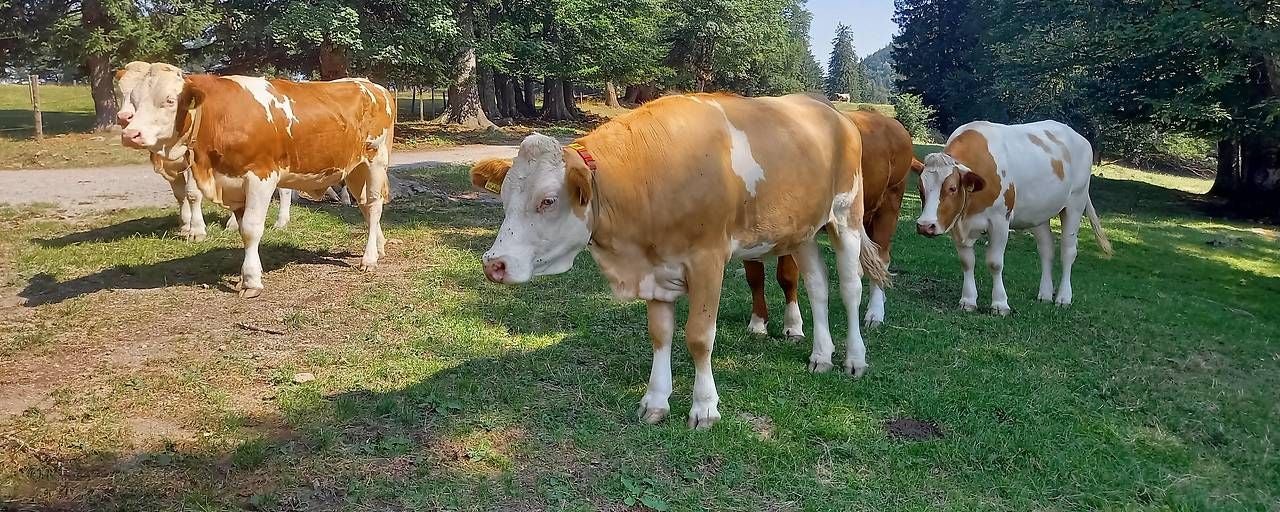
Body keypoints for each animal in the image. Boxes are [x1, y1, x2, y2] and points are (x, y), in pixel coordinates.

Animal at [115, 62, 292, 241]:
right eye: (122, 93)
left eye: (170, 100)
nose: (125, 119)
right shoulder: (170, 166)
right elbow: (180, 194)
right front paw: (185, 226)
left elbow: (192, 193)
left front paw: (196, 230)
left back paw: (279, 222)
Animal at [470, 93, 889, 429]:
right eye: (504, 198)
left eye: (547, 200)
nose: (494, 264)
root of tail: (832, 111)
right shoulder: (655, 269)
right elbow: (661, 334)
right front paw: (655, 401)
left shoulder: (708, 260)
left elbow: (699, 337)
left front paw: (704, 408)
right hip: (801, 229)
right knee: (817, 286)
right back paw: (821, 355)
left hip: (847, 214)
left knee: (849, 287)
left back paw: (855, 358)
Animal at [743, 110, 919, 336]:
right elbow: (754, 275)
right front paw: (757, 323)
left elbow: (787, 275)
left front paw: (793, 325)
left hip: (890, 203)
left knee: (882, 257)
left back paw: (875, 313)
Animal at [915, 120, 1112, 314]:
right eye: (920, 188)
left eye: (952, 188)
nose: (925, 225)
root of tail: (1078, 136)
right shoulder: (957, 223)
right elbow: (967, 262)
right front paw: (968, 301)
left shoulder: (1000, 221)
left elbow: (995, 263)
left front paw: (1000, 304)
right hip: (1039, 213)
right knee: (1046, 249)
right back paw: (1045, 295)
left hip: (1075, 203)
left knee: (1068, 251)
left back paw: (1063, 298)